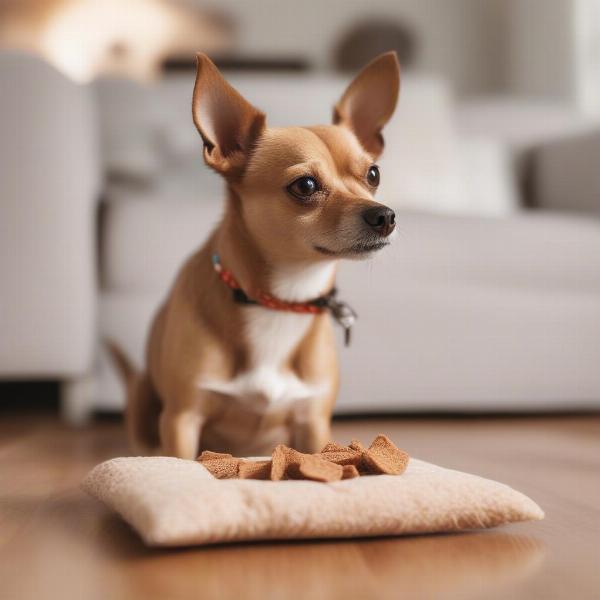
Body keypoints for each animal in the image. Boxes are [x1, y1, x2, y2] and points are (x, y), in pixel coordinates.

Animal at [111, 51, 404, 458]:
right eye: (305, 185)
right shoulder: (182, 419)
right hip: (143, 400)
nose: (385, 216)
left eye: (373, 174)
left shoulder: (313, 424)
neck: (281, 300)